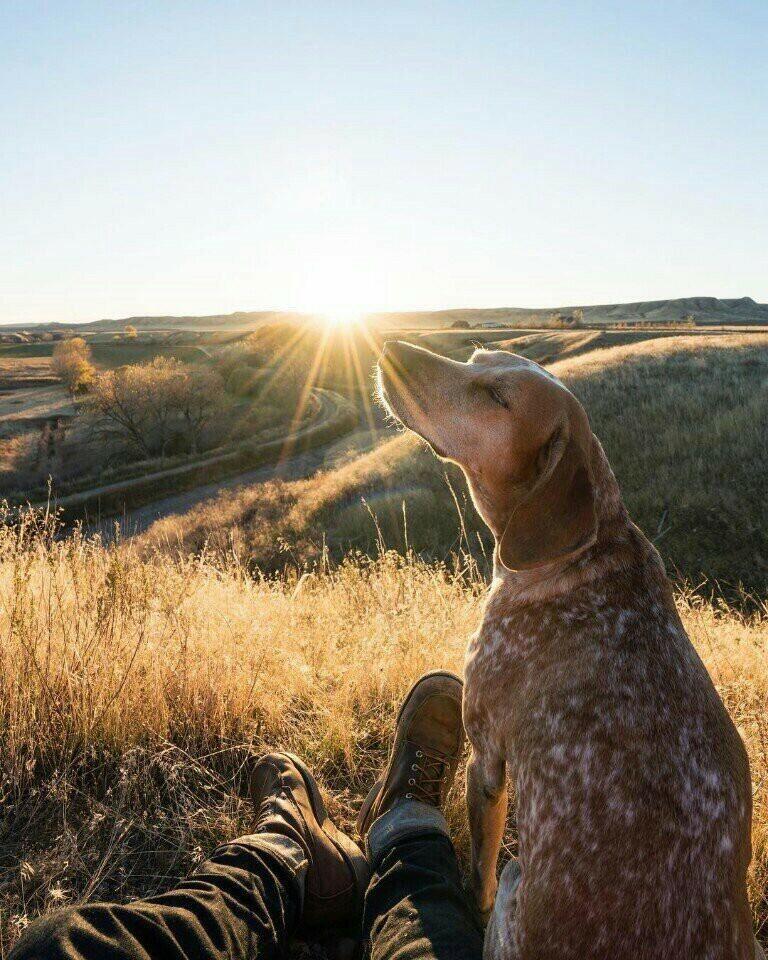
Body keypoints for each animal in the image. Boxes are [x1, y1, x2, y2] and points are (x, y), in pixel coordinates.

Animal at [376, 342, 760, 960]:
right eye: (477, 357)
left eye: (497, 397)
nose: (389, 347)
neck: (587, 553)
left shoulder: (487, 759)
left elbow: (479, 871)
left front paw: (470, 899)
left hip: (516, 876)